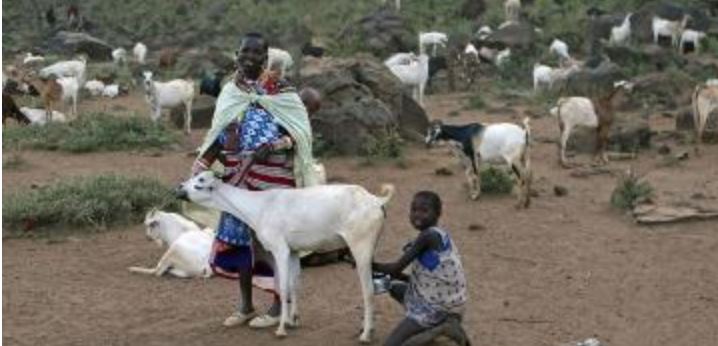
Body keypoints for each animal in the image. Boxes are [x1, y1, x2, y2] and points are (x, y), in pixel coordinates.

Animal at [177, 172, 396, 342]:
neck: (260, 206)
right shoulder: (293, 252)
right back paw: (366, 329)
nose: (179, 188)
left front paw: (281, 329)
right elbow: (293, 285)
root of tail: (376, 201)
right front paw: (293, 320)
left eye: (200, 181)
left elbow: (281, 287)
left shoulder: (279, 250)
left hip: (361, 247)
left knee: (368, 291)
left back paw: (365, 335)